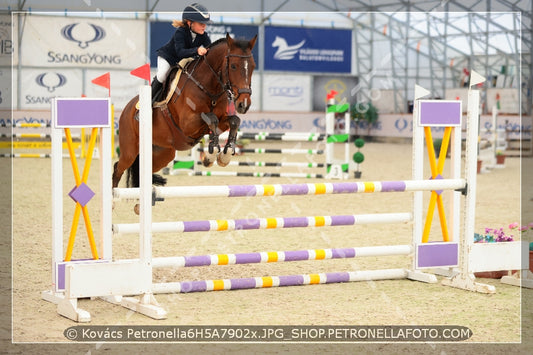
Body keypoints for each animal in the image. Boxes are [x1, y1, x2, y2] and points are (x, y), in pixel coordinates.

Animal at [111, 32, 256, 189]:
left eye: (253, 67)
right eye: (234, 66)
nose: (244, 104)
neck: (209, 87)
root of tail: (126, 109)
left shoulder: (222, 120)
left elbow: (234, 120)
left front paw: (225, 155)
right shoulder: (188, 124)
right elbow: (211, 118)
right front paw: (210, 157)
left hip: (163, 153)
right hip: (130, 151)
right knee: (118, 169)